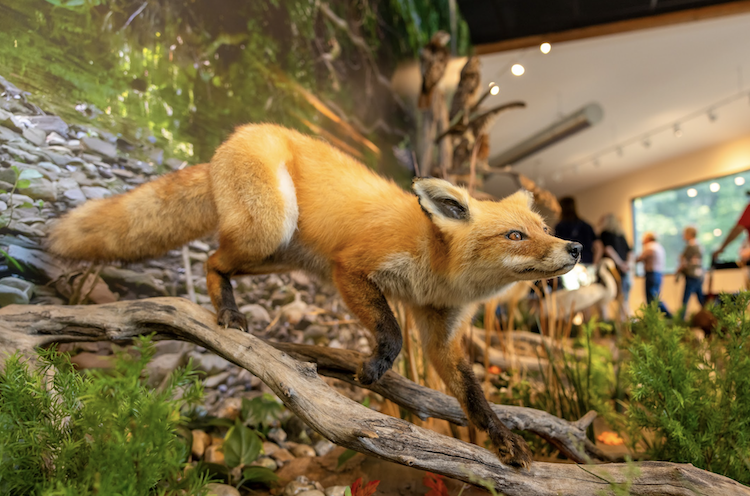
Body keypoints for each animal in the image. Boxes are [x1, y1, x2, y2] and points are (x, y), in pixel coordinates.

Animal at [47, 123, 582, 468]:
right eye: (515, 236)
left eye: (543, 228)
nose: (575, 247)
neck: (440, 269)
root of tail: (231, 139)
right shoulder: (353, 267)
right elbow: (390, 330)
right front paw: (375, 367)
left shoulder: (440, 333)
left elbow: (473, 397)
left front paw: (503, 442)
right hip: (270, 228)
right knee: (211, 260)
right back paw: (227, 311)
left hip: (281, 254)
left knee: (217, 259)